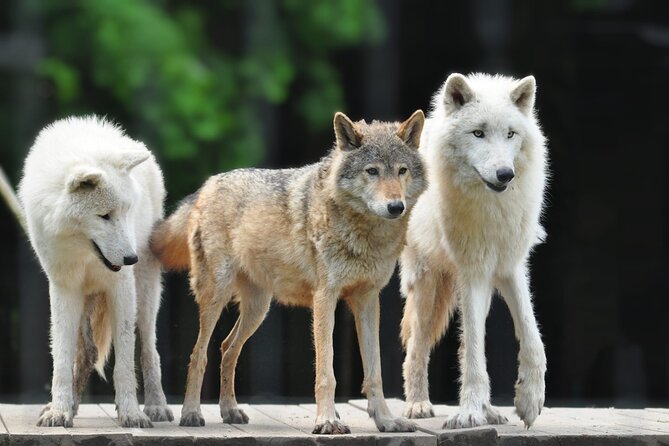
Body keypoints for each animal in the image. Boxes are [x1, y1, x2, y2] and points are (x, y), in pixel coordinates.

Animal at [14, 116, 173, 427]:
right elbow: (62, 359)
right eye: (104, 216)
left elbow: (124, 361)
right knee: (86, 352)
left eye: (126, 211)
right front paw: (59, 411)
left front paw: (131, 413)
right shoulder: (64, 288)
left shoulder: (121, 286)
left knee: (150, 350)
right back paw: (72, 405)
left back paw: (157, 407)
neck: (86, 255)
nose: (131, 257)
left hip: (146, 293)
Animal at [150, 110, 426, 434]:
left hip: (258, 310)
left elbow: (375, 372)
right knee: (199, 354)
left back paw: (230, 410)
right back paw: (191, 413)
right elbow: (326, 373)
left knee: (227, 348)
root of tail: (208, 184)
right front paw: (327, 420)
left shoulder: (368, 301)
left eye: (401, 171)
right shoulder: (325, 299)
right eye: (372, 171)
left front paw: (385, 420)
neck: (365, 236)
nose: (396, 206)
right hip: (216, 298)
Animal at [400, 73, 548, 429]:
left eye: (510, 134)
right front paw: (468, 413)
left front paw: (529, 400)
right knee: (416, 348)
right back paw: (418, 405)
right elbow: (474, 354)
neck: (492, 209)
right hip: (427, 287)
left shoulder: (510, 267)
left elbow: (532, 335)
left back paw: (490, 411)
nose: (505, 174)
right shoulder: (473, 272)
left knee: (467, 343)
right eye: (478, 133)